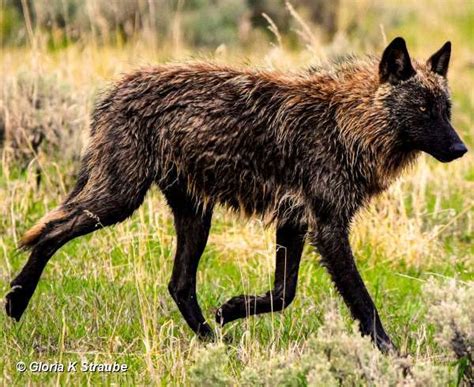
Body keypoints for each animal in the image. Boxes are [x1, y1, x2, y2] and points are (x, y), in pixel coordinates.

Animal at [6, 38, 466, 354]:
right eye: (422, 110)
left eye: (445, 110)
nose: (461, 149)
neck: (346, 121)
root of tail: (113, 93)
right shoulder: (328, 228)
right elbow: (364, 304)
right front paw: (394, 357)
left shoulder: (294, 222)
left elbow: (283, 294)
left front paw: (229, 310)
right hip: (118, 201)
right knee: (47, 233)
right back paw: (15, 302)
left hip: (192, 215)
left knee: (178, 284)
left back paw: (213, 340)